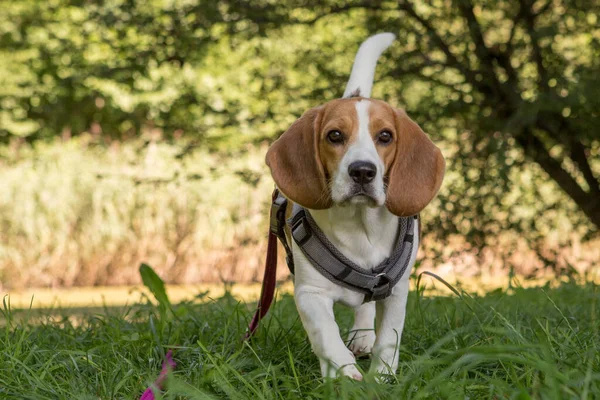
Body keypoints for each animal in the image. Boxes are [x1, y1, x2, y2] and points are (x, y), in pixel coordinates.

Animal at [264, 32, 442, 380]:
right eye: (334, 135)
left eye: (385, 136)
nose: (362, 171)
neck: (360, 227)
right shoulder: (310, 294)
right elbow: (326, 335)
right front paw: (343, 375)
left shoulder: (396, 291)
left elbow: (389, 338)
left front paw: (381, 376)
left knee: (366, 305)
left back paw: (362, 337)